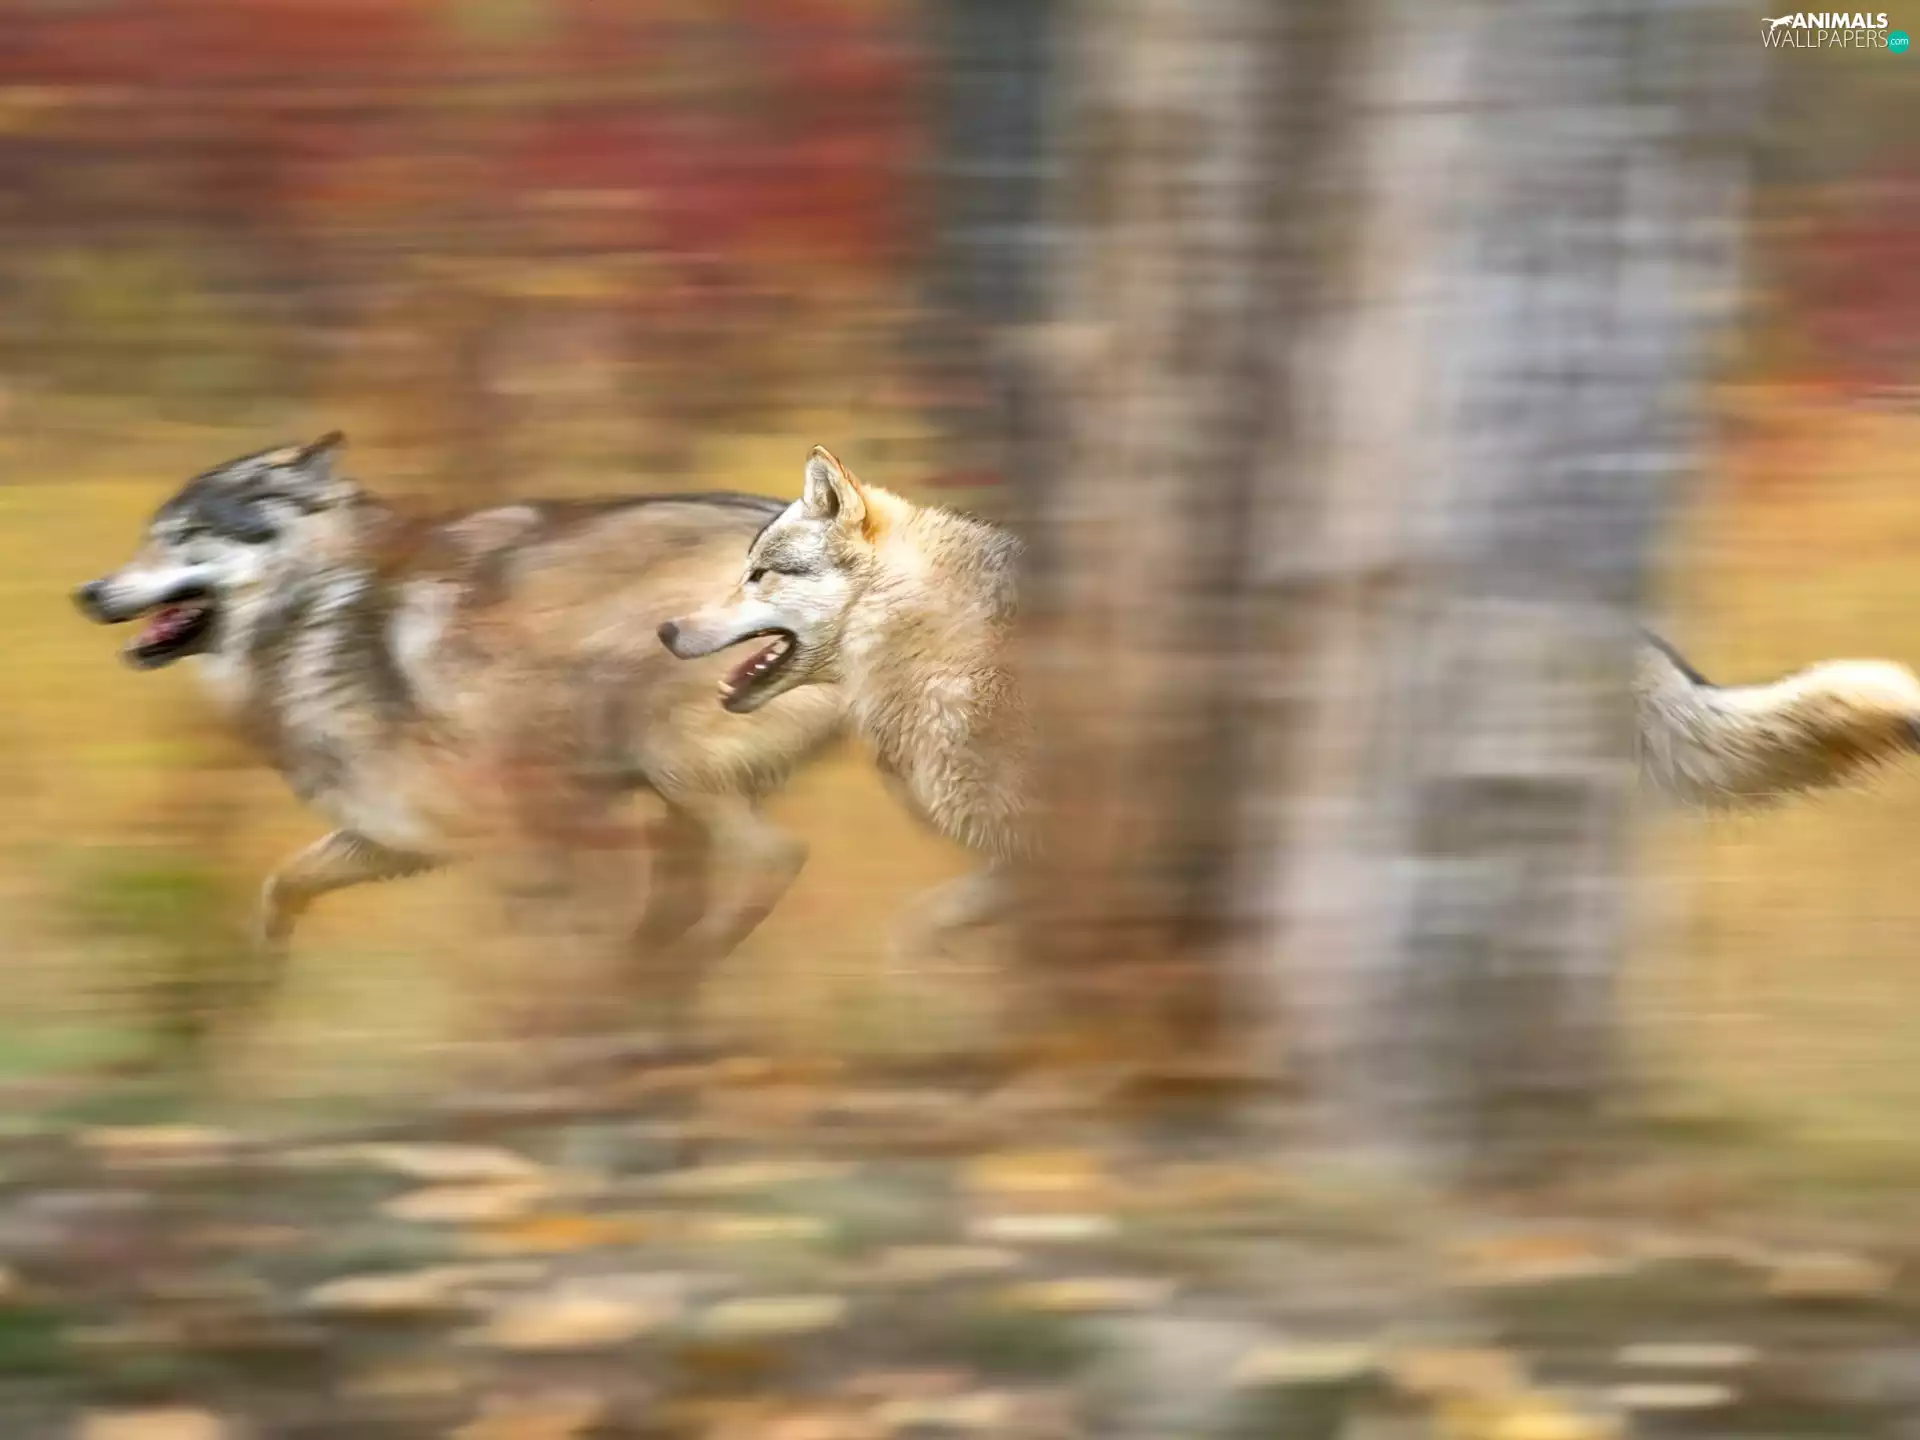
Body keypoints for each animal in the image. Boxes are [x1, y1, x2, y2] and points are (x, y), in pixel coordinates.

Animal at [74, 433, 845, 1030]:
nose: (88, 593)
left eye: (180, 540)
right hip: (665, 794)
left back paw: (671, 971)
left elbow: (550, 944)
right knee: (693, 887)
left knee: (775, 857)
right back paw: (654, 979)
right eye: (151, 536)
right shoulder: (399, 836)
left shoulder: (516, 834)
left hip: (669, 764)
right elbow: (281, 887)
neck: (313, 610)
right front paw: (260, 992)